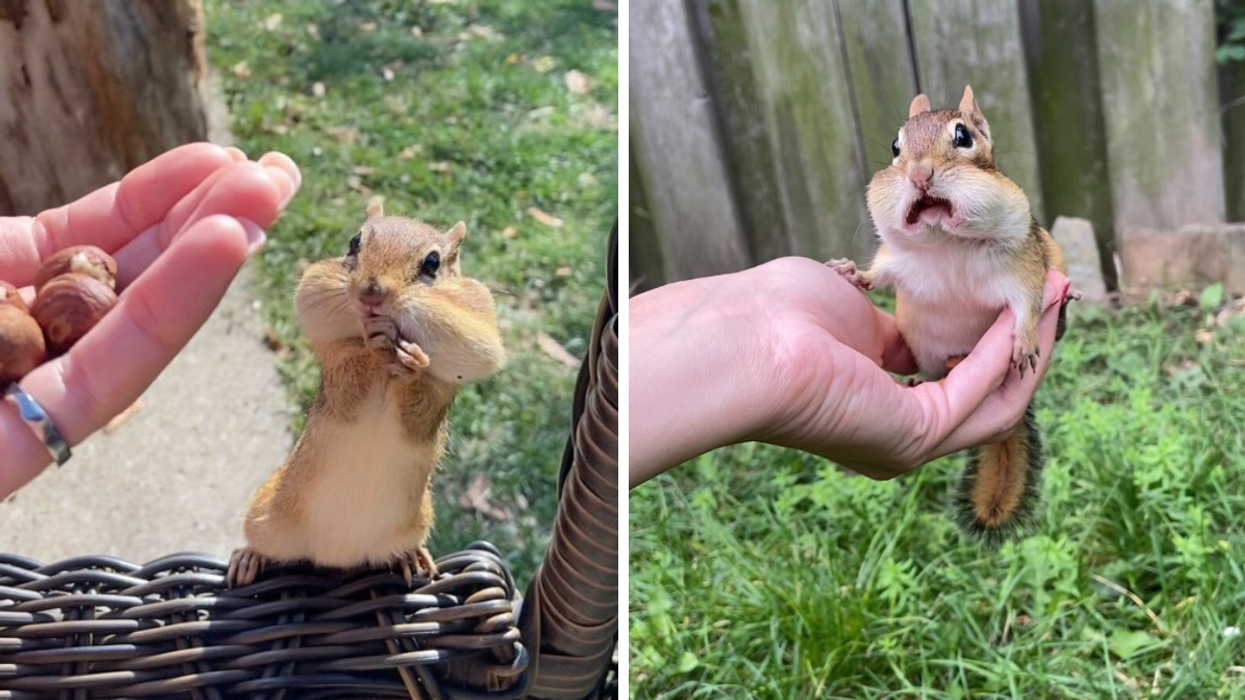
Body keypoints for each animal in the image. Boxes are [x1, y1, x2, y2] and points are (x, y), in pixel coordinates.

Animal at [228, 201, 505, 587]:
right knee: (263, 543)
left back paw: (411, 556)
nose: (371, 293)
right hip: (265, 513)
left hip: (416, 521)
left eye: (432, 263)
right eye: (354, 242)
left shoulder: (439, 391)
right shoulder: (337, 374)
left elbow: (417, 407)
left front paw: (412, 364)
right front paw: (373, 343)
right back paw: (248, 557)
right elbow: (351, 386)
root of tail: (338, 558)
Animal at [829, 86, 1078, 544]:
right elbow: (878, 274)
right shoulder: (897, 261)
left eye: (963, 137)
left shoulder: (1024, 266)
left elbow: (1028, 304)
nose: (919, 174)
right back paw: (923, 379)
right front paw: (852, 273)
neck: (946, 243)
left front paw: (1025, 340)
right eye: (895, 146)